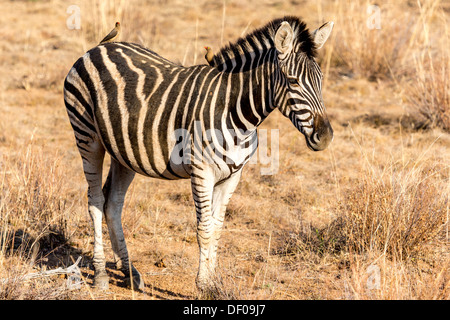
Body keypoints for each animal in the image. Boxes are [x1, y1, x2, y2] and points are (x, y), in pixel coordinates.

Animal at [63, 16, 334, 292]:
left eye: (321, 80)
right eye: (293, 82)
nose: (325, 137)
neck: (238, 113)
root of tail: (101, 46)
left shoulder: (233, 175)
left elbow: (217, 228)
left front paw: (214, 281)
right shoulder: (202, 172)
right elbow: (204, 229)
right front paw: (204, 284)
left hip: (124, 153)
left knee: (113, 204)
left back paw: (130, 273)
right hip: (88, 138)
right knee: (96, 202)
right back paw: (100, 274)